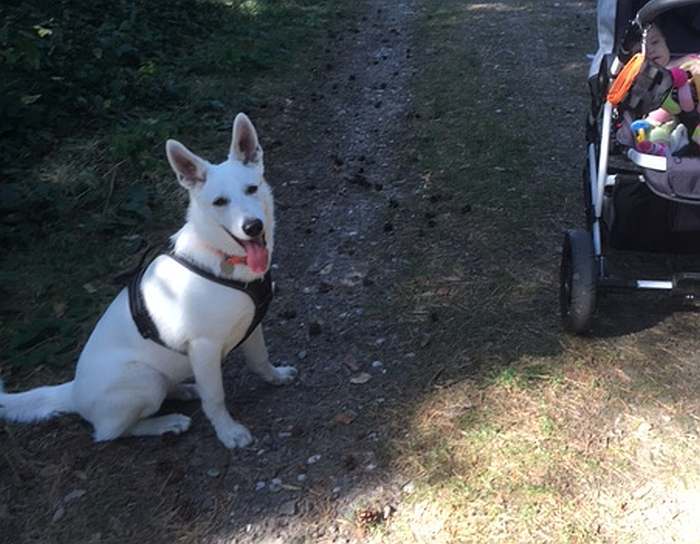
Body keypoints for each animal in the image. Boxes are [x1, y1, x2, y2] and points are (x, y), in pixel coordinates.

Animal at [0, 112, 296, 448]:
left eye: (251, 188)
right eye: (220, 202)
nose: (252, 226)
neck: (220, 257)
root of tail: (73, 390)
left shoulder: (251, 325)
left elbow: (260, 360)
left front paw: (275, 377)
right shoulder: (204, 347)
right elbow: (215, 398)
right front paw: (228, 432)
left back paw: (184, 390)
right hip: (145, 379)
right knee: (110, 433)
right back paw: (166, 423)